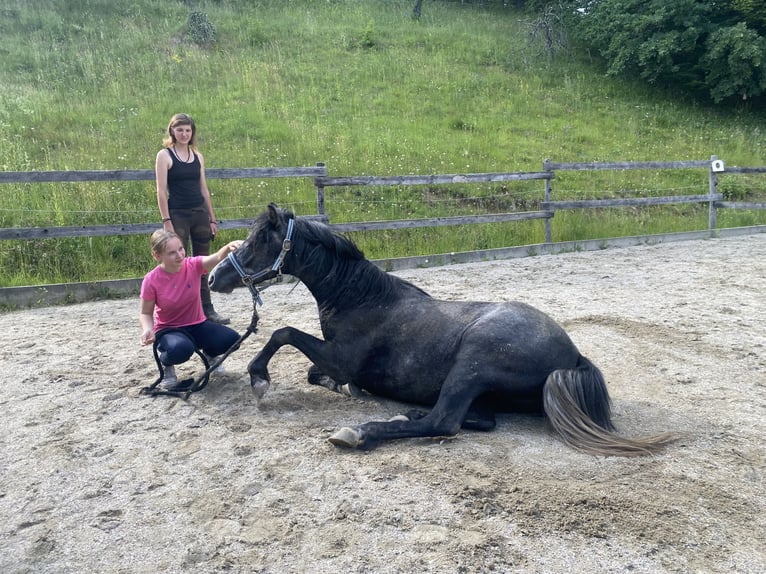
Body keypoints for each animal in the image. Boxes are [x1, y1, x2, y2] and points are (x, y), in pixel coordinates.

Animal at [208, 203, 676, 456]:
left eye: (257, 242)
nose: (214, 278)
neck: (362, 298)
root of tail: (574, 357)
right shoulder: (335, 359)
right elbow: (310, 369)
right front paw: (346, 390)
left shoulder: (341, 358)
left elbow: (283, 333)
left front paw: (259, 378)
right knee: (474, 419)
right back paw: (405, 411)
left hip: (472, 363)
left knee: (444, 422)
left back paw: (360, 431)